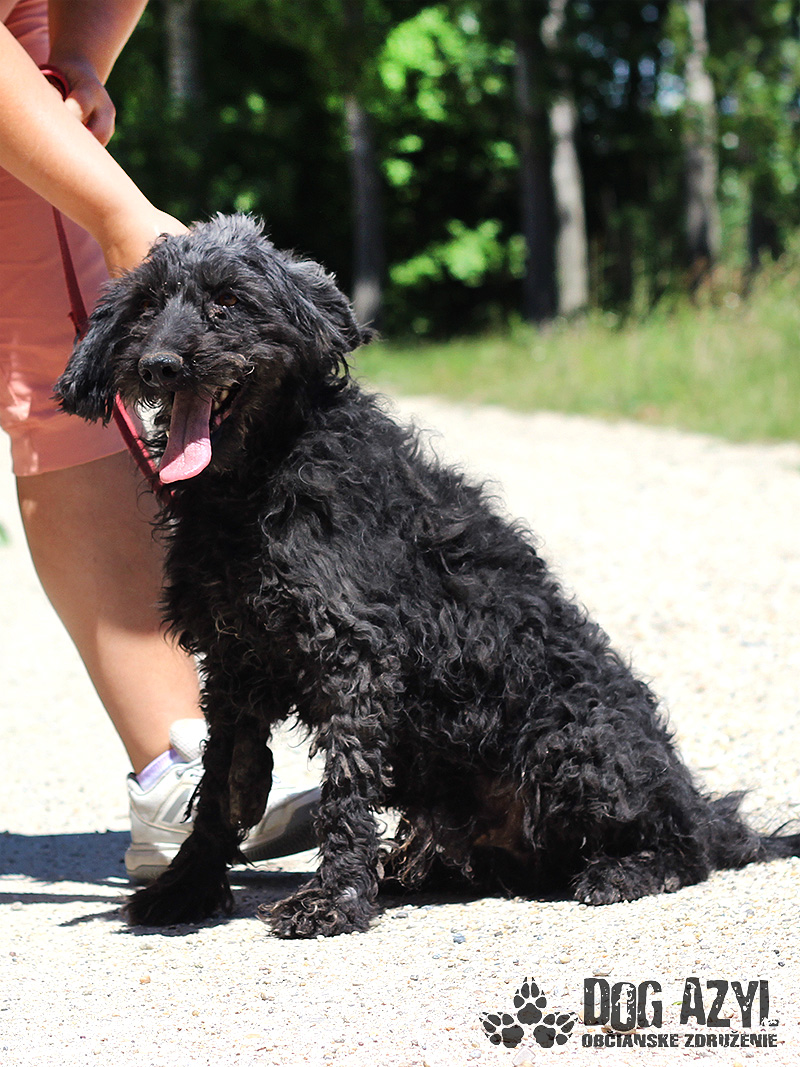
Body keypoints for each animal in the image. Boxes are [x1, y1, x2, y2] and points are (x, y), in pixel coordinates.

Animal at [56, 214, 800, 937]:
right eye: (147, 308)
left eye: (229, 302)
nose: (158, 365)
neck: (252, 484)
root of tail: (694, 801)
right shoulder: (234, 664)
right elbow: (219, 790)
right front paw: (186, 886)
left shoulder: (353, 652)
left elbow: (343, 789)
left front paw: (331, 900)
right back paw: (413, 869)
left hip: (572, 740)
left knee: (687, 848)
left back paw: (622, 871)